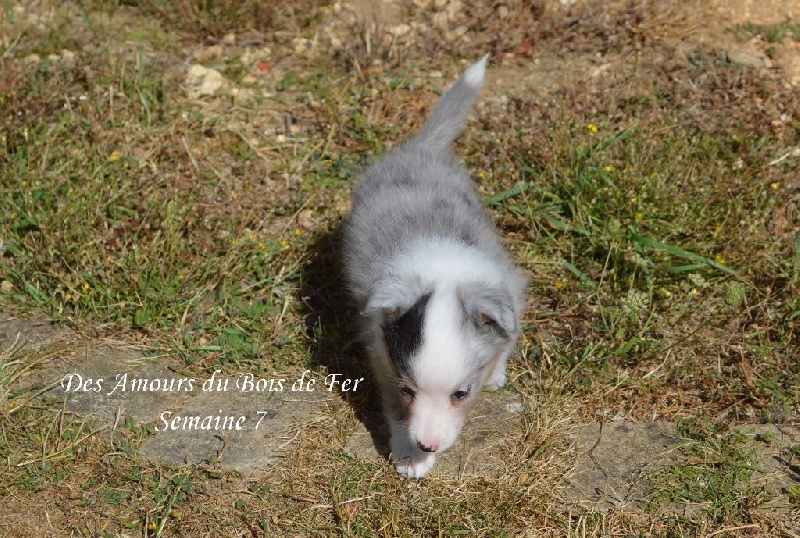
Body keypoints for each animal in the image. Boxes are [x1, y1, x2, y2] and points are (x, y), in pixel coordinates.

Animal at [342, 54, 524, 476]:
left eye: (462, 393)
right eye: (407, 389)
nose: (428, 444)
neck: (445, 273)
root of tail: (420, 148)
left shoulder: (508, 289)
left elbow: (506, 338)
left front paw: (498, 370)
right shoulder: (383, 356)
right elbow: (394, 408)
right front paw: (411, 456)